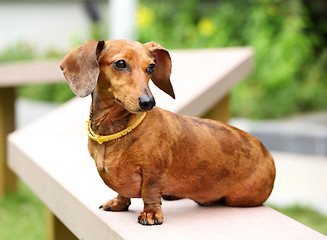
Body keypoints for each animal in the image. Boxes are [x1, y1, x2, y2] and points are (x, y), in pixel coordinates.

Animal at [60, 39, 276, 225]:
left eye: (151, 67)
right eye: (120, 64)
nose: (148, 102)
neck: (113, 131)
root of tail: (267, 153)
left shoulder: (153, 170)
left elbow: (150, 192)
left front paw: (151, 214)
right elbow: (123, 193)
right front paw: (119, 203)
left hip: (240, 197)